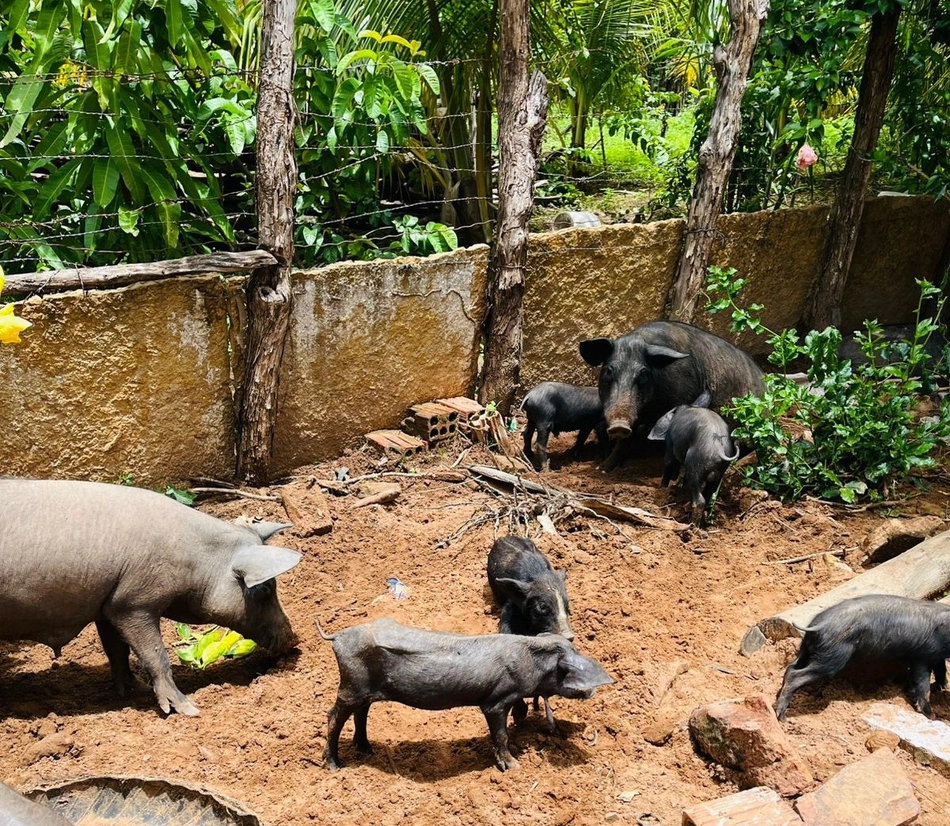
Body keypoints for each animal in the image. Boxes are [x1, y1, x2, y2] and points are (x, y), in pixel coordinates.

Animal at [0, 478, 302, 717]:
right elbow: (157, 655)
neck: (197, 564)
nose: (295, 639)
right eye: (266, 588)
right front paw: (187, 710)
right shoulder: (133, 604)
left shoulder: (108, 606)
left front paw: (136, 690)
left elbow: (118, 651)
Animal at [318, 618, 612, 771]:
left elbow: (519, 713)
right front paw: (514, 766)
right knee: (333, 716)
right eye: (567, 668)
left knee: (361, 713)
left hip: (364, 691)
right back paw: (335, 765)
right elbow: (500, 735)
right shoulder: (495, 702)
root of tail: (337, 636)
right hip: (350, 686)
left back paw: (367, 750)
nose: (592, 690)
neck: (532, 663)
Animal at [488, 536, 574, 727]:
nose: (569, 636)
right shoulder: (508, 612)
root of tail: (502, 537)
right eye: (542, 607)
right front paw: (519, 717)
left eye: (567, 604)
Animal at [647, 391, 739, 523]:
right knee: (708, 495)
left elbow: (668, 462)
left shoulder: (670, 443)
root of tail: (719, 451)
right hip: (719, 474)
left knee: (699, 500)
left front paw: (662, 488)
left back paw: (691, 525)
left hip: (695, 466)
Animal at [774, 595, 950, 721]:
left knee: (790, 667)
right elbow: (923, 686)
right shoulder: (921, 656)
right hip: (832, 657)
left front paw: (942, 687)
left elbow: (940, 670)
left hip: (807, 650)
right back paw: (782, 717)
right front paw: (933, 717)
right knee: (795, 675)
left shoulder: (934, 657)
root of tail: (817, 625)